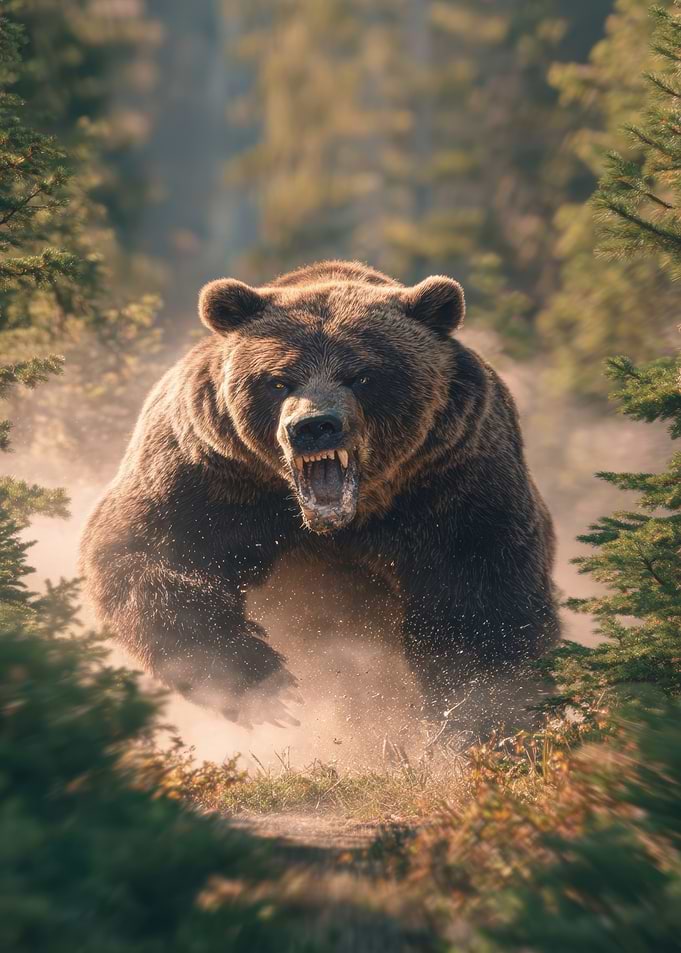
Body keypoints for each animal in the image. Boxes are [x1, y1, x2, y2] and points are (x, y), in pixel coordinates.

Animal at [79, 260, 559, 730]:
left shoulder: (453, 481)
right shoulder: (209, 472)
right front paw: (270, 688)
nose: (313, 426)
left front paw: (482, 712)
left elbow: (479, 598)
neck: (338, 522)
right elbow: (144, 553)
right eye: (278, 380)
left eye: (361, 375)